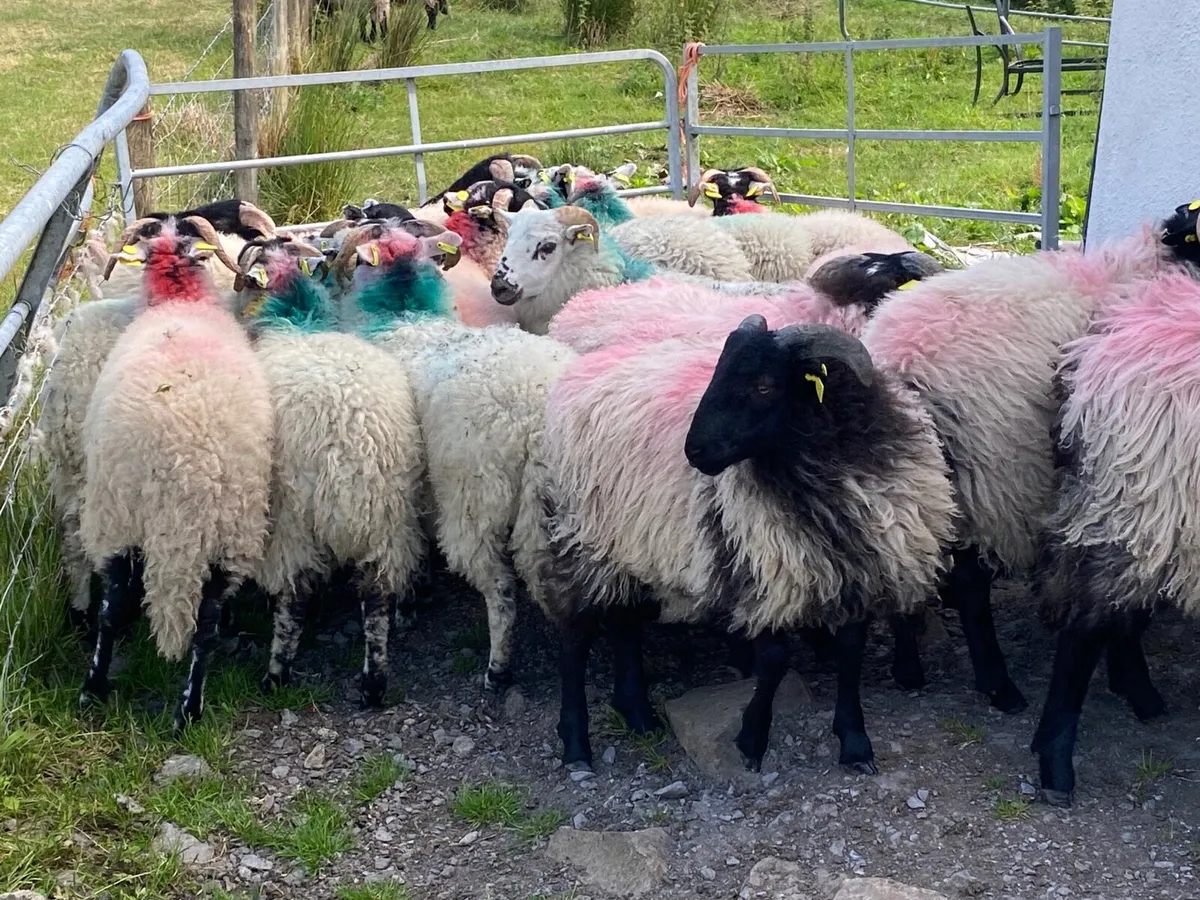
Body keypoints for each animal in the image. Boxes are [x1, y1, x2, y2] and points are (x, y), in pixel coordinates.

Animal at [77, 216, 272, 731]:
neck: (178, 298)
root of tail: (179, 461)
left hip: (116, 514)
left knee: (113, 607)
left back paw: (93, 688)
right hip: (230, 528)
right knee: (201, 622)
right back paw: (189, 707)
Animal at [234, 236, 427, 705]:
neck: (294, 319)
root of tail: (351, 445)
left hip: (294, 520)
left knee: (294, 595)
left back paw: (276, 674)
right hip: (389, 518)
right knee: (377, 596)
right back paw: (374, 684)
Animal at [337, 222, 576, 688]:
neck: (403, 314)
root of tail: (537, 416)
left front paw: (408, 605)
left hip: (474, 496)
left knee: (500, 587)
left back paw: (497, 669)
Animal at [543, 317, 956, 771]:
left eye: (763, 386)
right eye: (718, 371)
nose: (694, 451)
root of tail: (581, 370)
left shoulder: (860, 570)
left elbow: (851, 653)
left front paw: (854, 741)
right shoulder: (766, 569)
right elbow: (773, 661)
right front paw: (751, 739)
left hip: (625, 545)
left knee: (623, 621)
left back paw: (637, 713)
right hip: (580, 537)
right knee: (575, 637)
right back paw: (576, 743)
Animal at [859, 206, 1200, 715]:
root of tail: (901, 361)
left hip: (922, 471)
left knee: (908, 552)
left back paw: (908, 668)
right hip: (994, 468)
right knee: (971, 582)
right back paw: (998, 685)